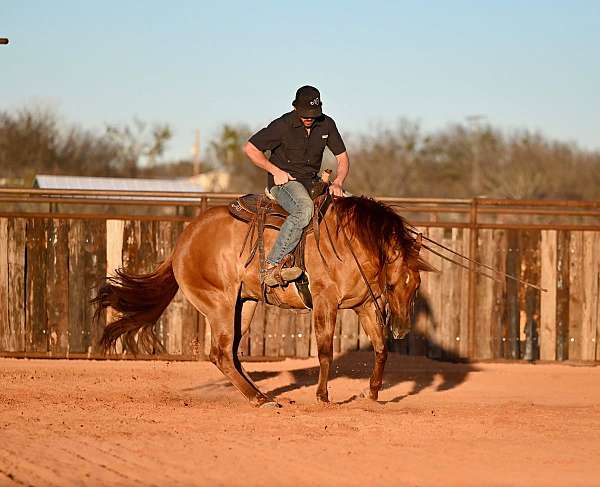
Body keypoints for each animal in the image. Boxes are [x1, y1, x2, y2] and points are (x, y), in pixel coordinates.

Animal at [92, 196, 432, 406]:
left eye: (416, 285)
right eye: (392, 284)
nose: (402, 329)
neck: (348, 241)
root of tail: (183, 242)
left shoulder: (363, 305)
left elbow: (381, 348)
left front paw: (372, 394)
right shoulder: (325, 302)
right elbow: (325, 353)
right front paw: (323, 397)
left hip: (244, 305)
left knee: (232, 354)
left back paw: (262, 395)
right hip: (219, 304)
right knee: (220, 354)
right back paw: (259, 399)